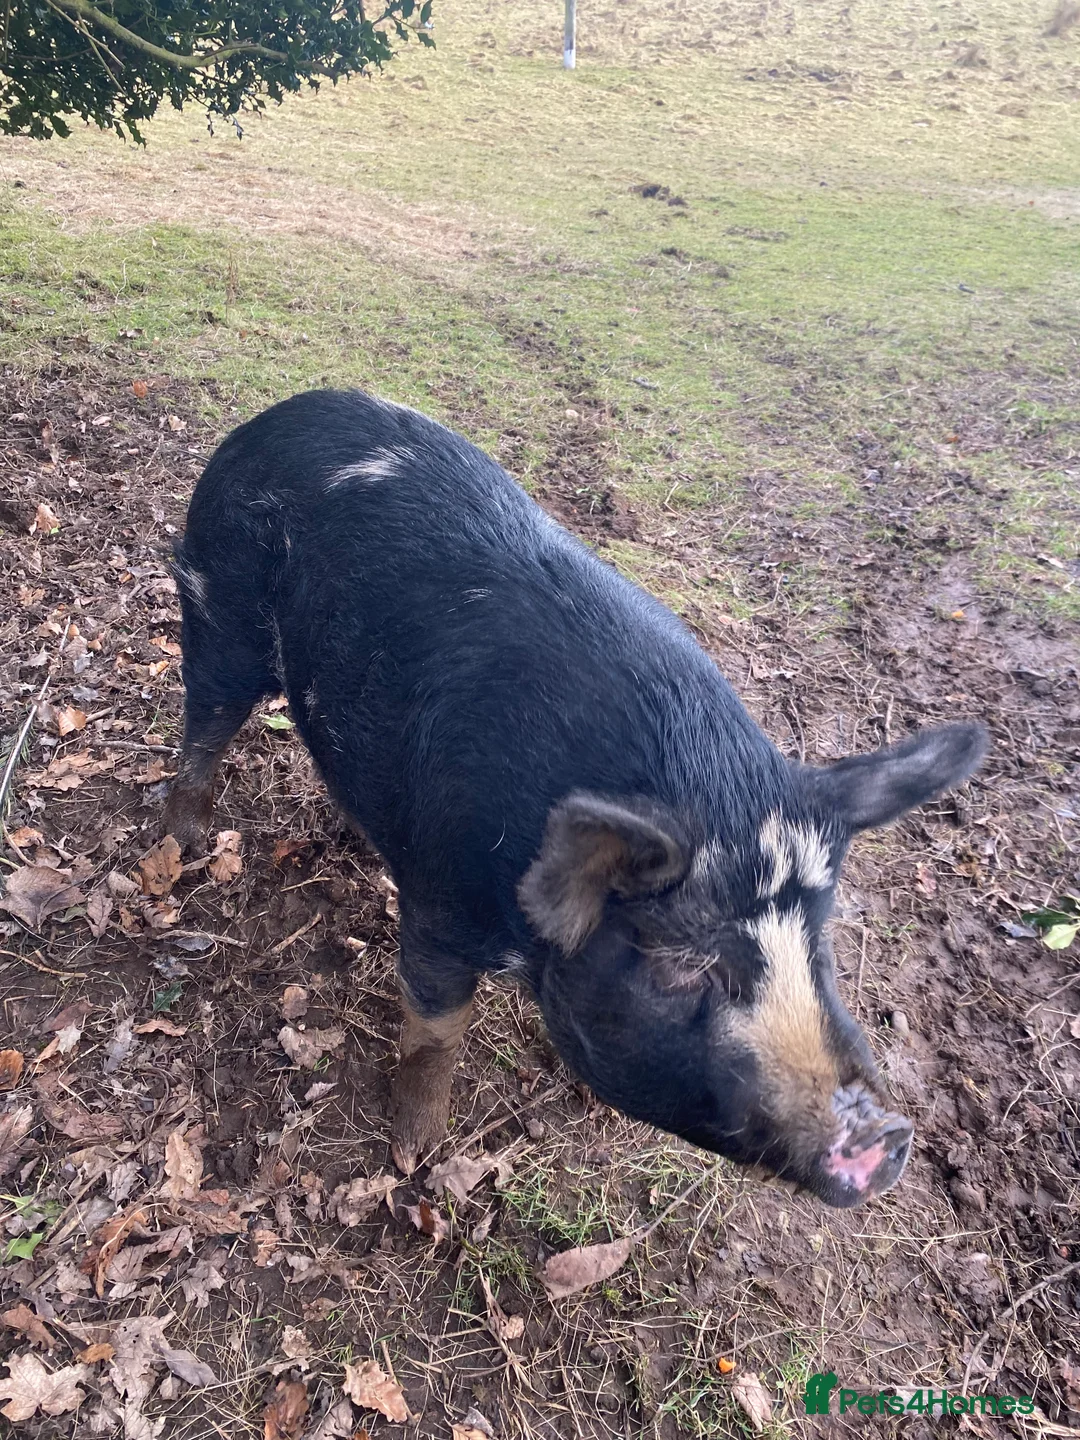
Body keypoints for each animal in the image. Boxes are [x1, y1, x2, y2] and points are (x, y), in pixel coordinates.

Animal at [163, 388, 986, 1204]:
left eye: (819, 947)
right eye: (680, 965)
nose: (888, 1134)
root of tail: (274, 416)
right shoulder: (439, 898)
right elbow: (438, 1029)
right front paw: (415, 1157)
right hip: (218, 609)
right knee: (203, 726)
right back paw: (183, 843)